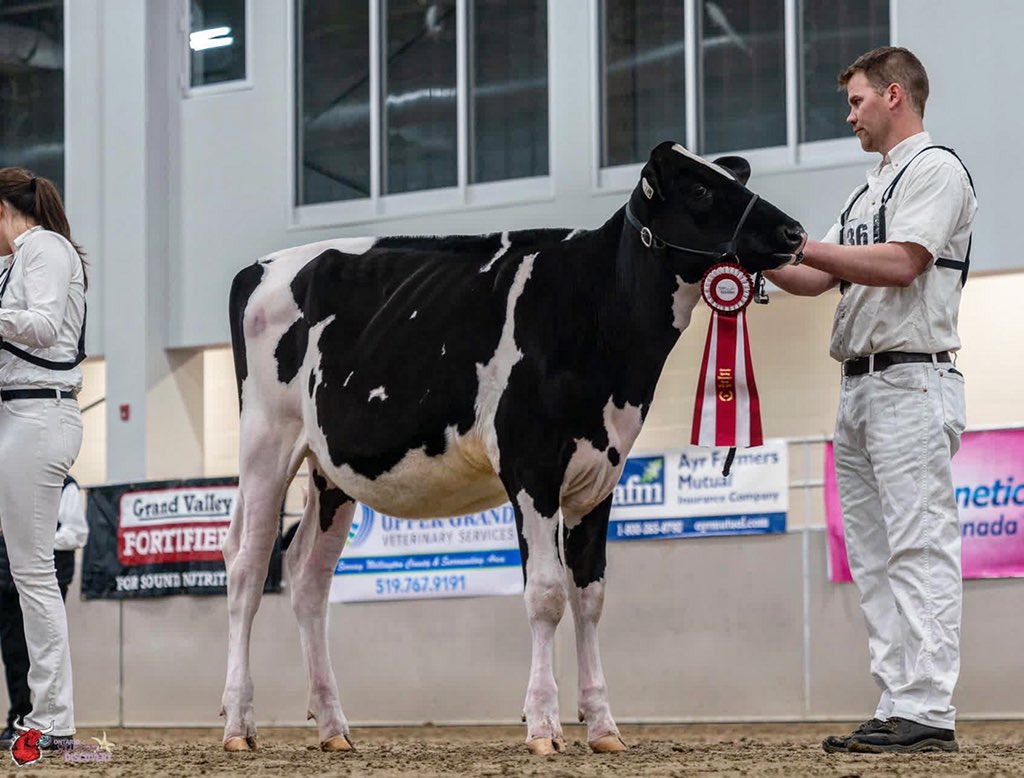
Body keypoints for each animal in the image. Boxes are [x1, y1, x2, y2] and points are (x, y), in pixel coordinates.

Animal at [220, 142, 805, 755]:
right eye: (699, 189)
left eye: (734, 180)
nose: (794, 232)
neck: (598, 316)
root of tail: (259, 267)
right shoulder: (531, 465)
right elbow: (546, 593)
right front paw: (544, 724)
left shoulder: (602, 473)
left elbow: (589, 595)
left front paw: (603, 726)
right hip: (265, 441)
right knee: (247, 567)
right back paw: (239, 723)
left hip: (330, 468)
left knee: (308, 575)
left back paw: (334, 727)